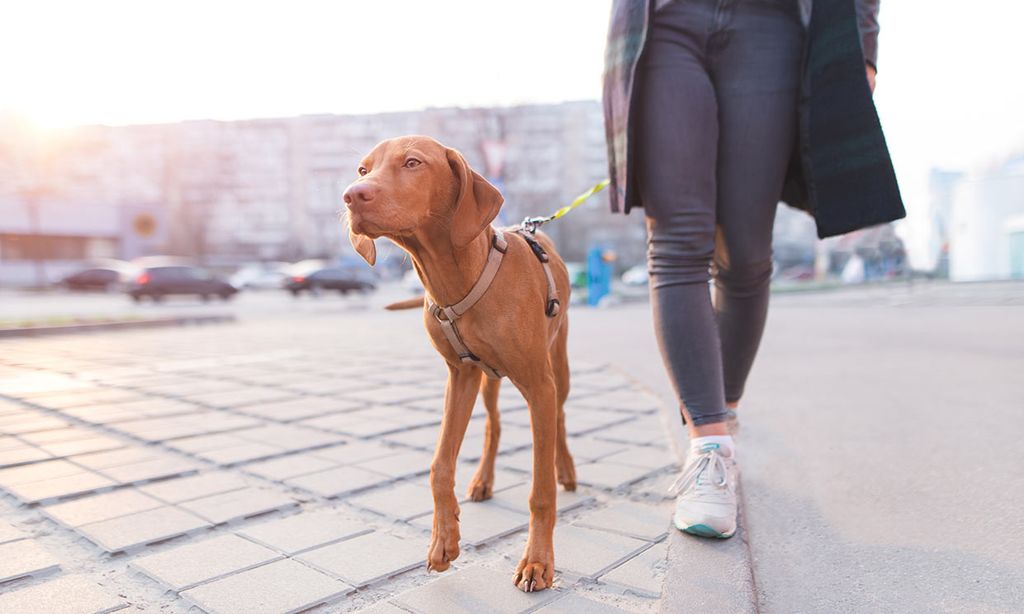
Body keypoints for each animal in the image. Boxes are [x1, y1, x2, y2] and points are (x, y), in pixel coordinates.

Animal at [339, 137, 573, 593]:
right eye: (362, 170)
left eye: (413, 163)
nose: (352, 196)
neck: (458, 278)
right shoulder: (460, 376)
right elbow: (439, 465)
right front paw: (443, 541)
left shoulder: (539, 385)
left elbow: (540, 491)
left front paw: (537, 562)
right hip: (488, 381)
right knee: (494, 425)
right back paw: (483, 480)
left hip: (559, 367)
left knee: (559, 418)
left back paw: (565, 469)